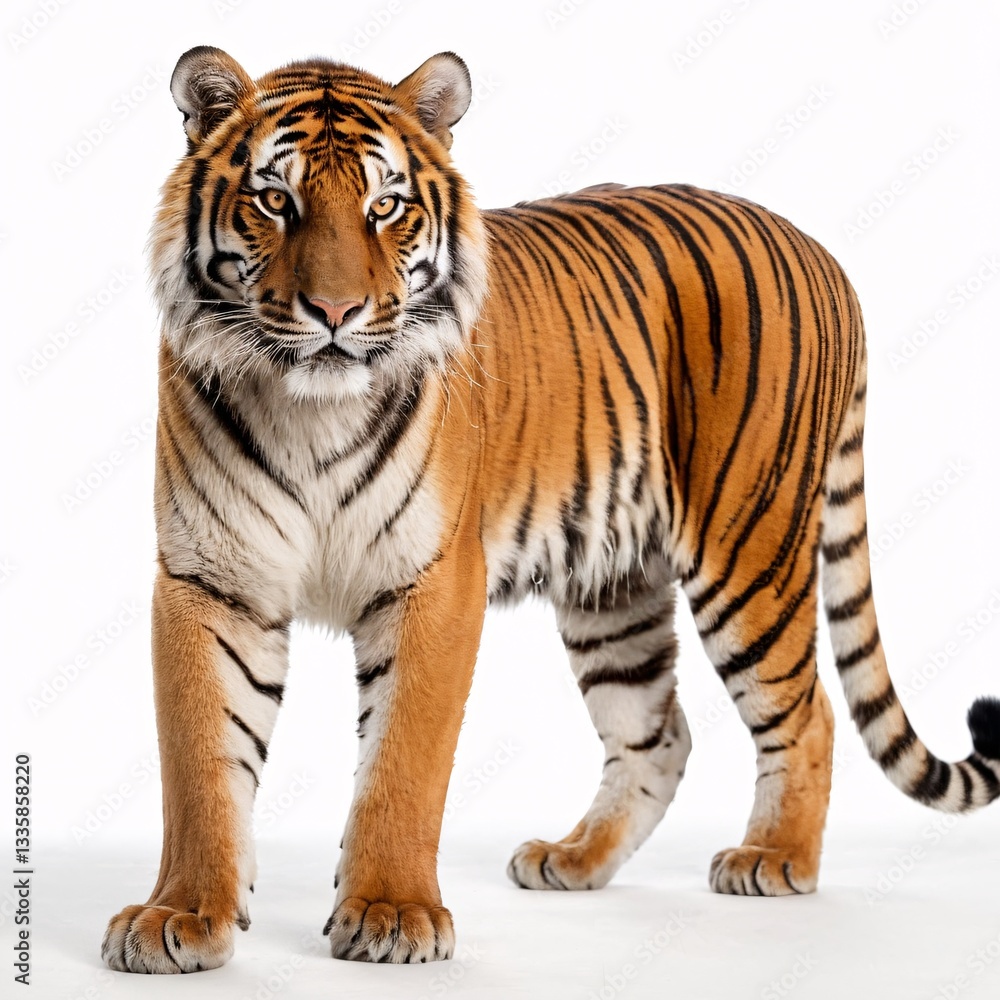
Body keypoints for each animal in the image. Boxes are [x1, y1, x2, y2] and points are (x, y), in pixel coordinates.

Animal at [101, 45, 1000, 973]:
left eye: (384, 206)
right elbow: (200, 765)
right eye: (276, 201)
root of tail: (822, 250)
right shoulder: (210, 583)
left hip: (750, 550)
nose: (336, 313)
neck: (312, 411)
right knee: (659, 734)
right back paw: (575, 860)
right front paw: (180, 914)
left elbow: (403, 762)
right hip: (616, 587)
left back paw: (774, 858)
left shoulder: (433, 585)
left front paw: (391, 912)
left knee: (809, 712)